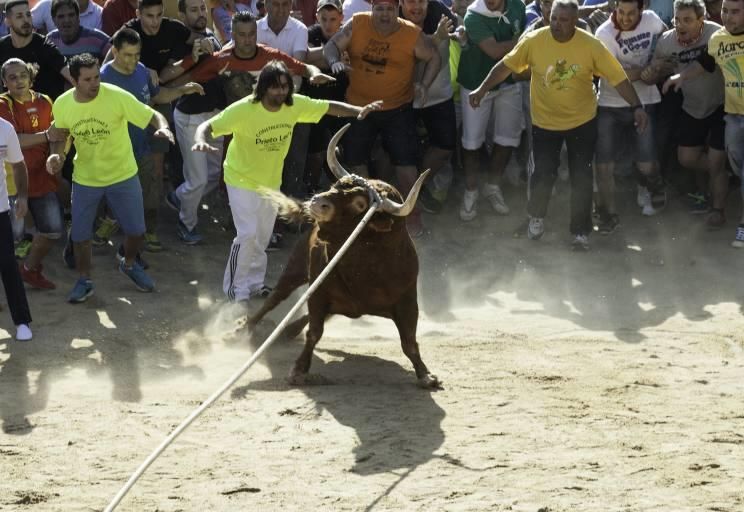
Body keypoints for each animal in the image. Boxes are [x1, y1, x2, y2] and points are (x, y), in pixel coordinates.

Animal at [247, 124, 438, 388]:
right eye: (337, 185)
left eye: (360, 204)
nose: (318, 201)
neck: (366, 268)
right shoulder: (318, 293)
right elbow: (314, 332)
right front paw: (299, 370)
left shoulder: (408, 301)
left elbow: (409, 341)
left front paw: (425, 375)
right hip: (296, 267)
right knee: (275, 298)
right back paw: (243, 329)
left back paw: (288, 330)